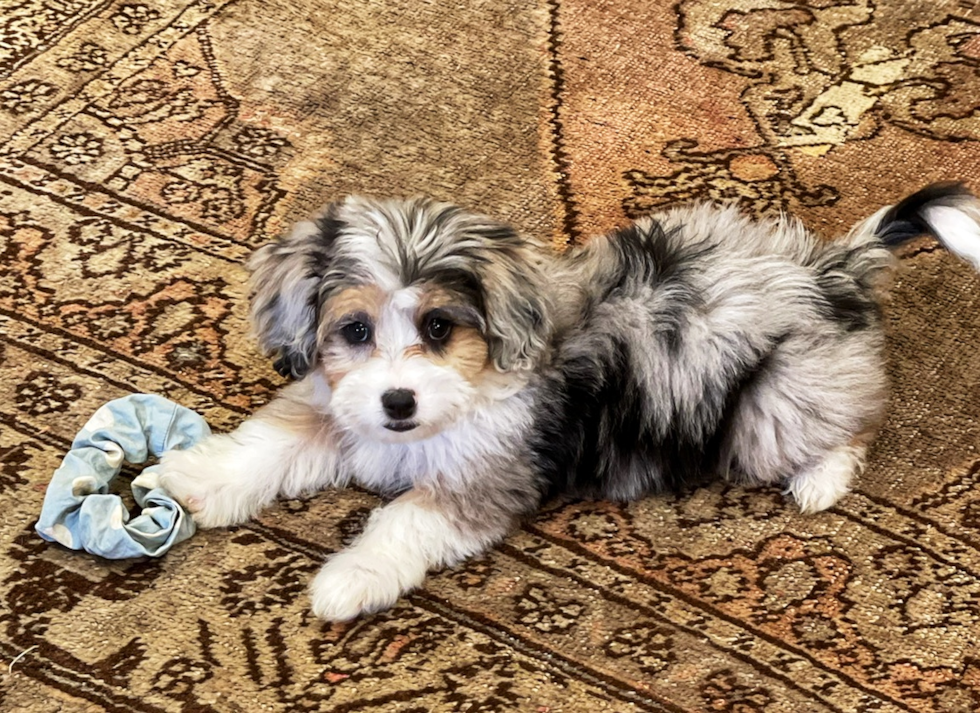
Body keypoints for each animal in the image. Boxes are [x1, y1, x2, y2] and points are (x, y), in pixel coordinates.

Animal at [161, 186, 980, 620]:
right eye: (355, 330)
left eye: (438, 326)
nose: (398, 402)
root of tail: (834, 271)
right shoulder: (339, 410)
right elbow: (271, 440)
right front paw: (192, 480)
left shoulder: (486, 477)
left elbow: (402, 520)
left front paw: (347, 580)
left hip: (771, 406)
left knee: (851, 423)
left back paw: (820, 481)